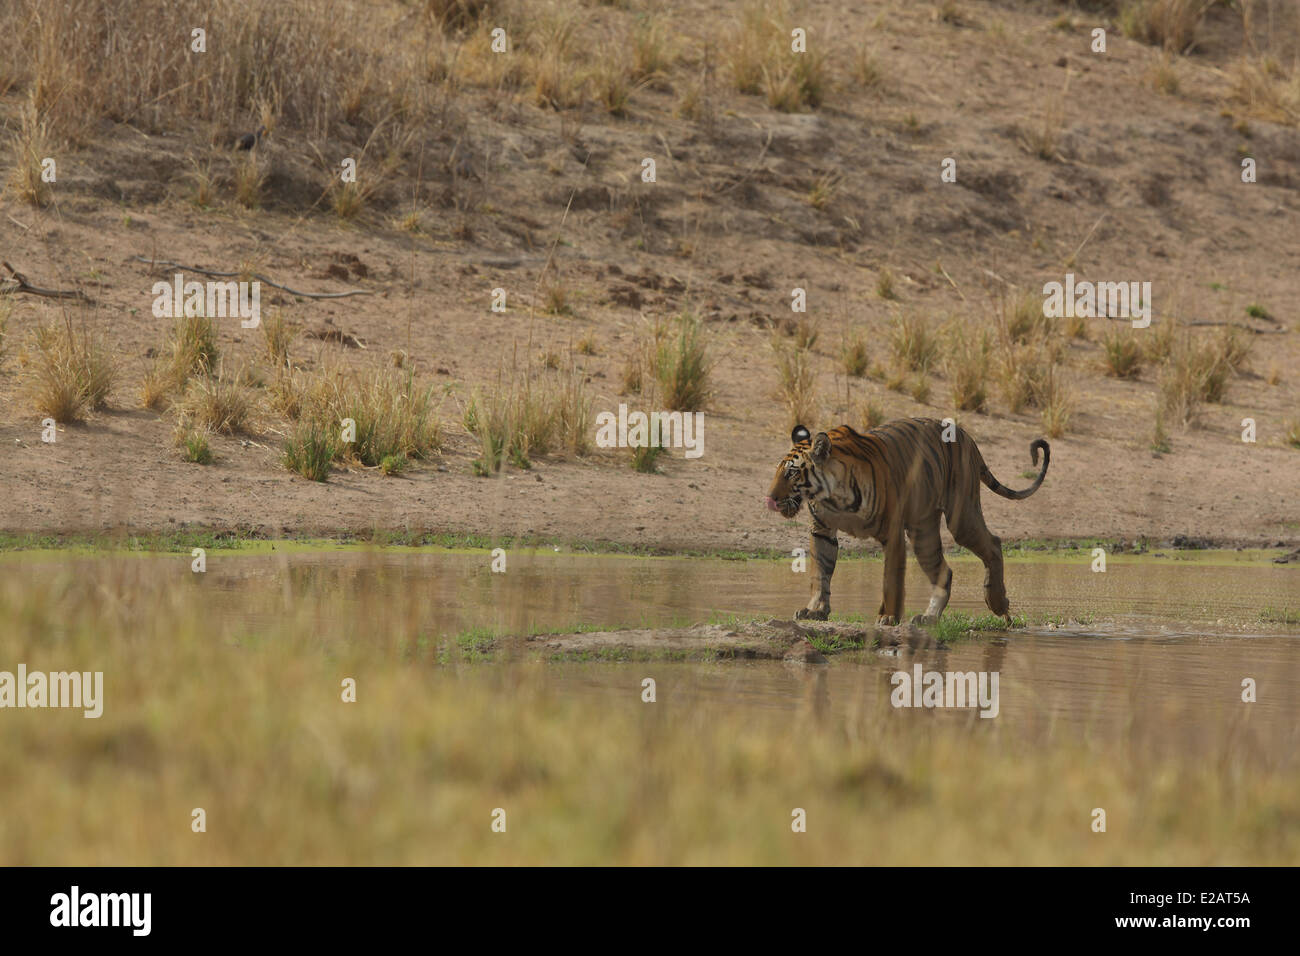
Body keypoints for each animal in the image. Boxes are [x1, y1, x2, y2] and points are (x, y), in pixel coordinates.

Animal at [764, 418, 1050, 629]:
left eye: (791, 473)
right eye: (777, 471)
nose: (770, 498)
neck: (832, 496)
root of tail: (968, 437)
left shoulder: (891, 533)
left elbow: (891, 577)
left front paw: (888, 616)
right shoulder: (822, 530)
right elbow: (819, 574)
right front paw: (815, 610)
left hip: (961, 518)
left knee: (993, 544)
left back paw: (997, 602)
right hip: (923, 531)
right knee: (944, 570)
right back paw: (929, 617)